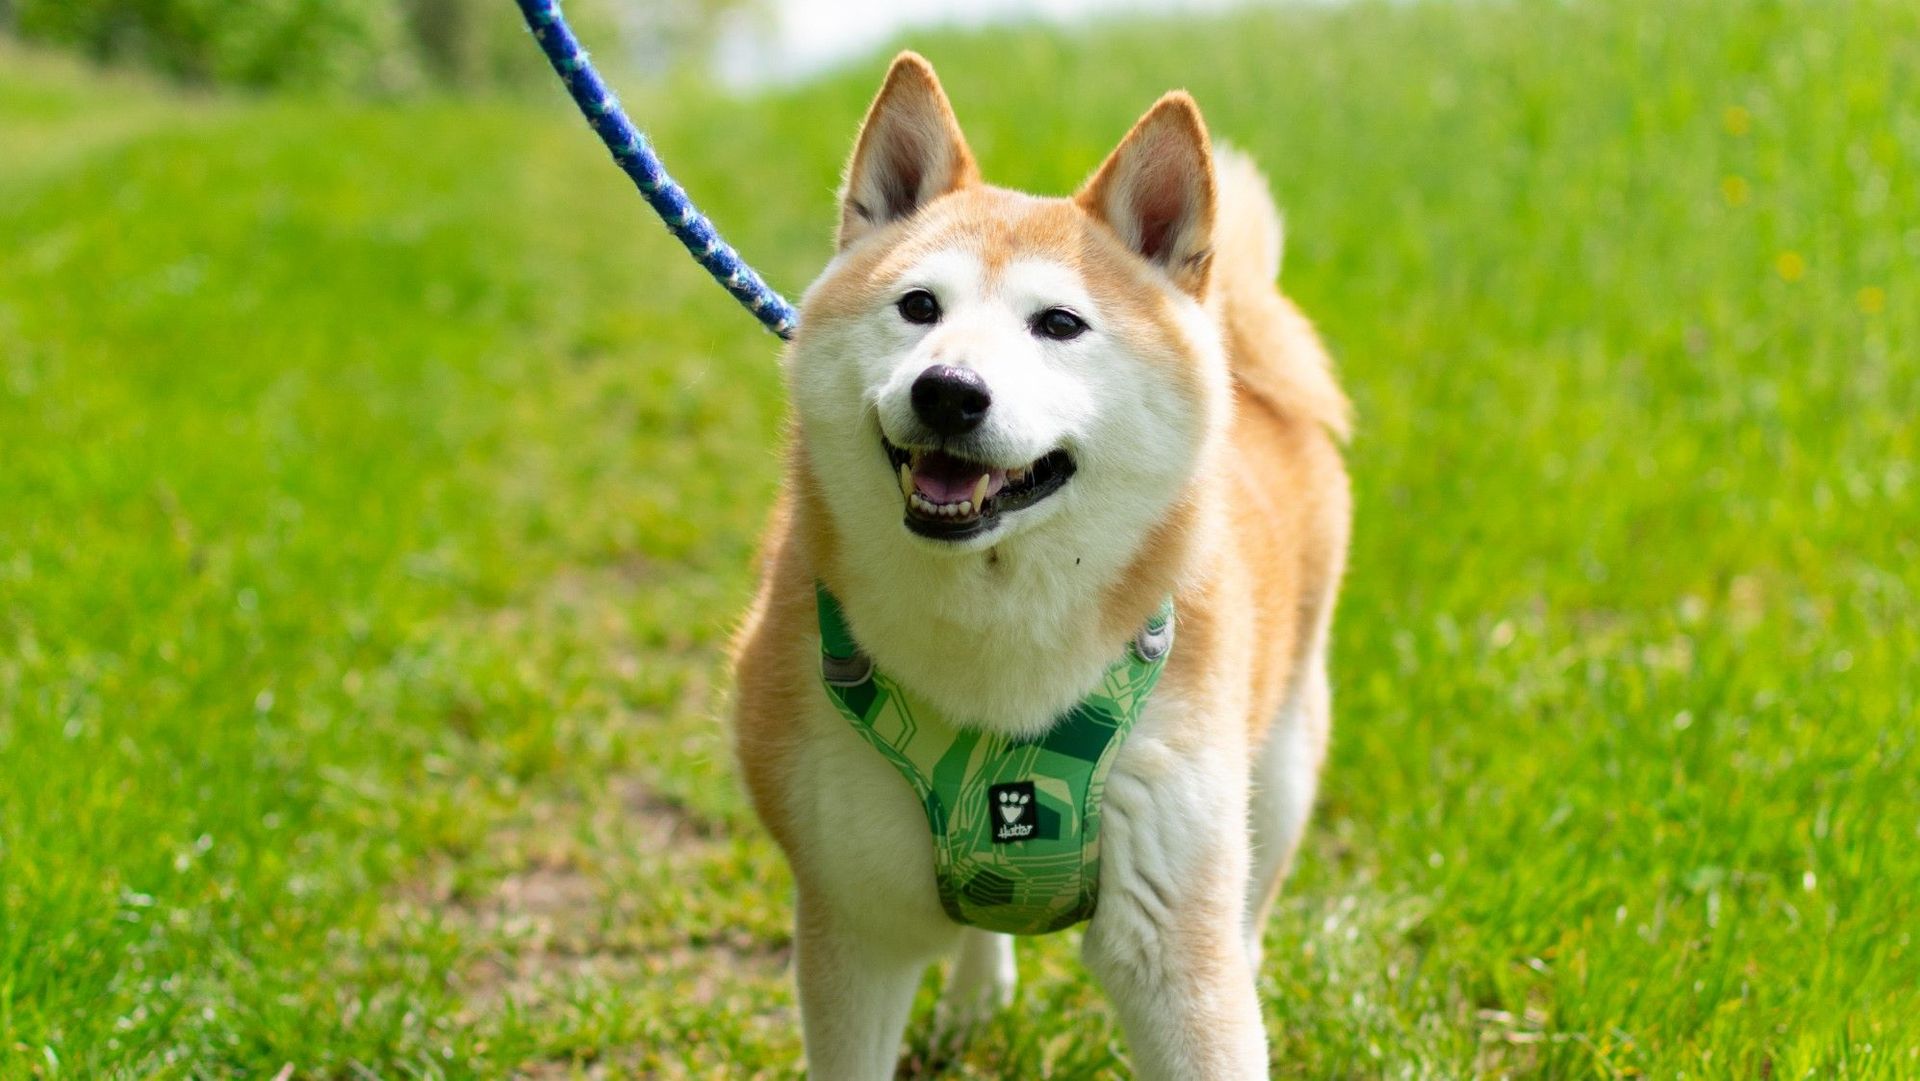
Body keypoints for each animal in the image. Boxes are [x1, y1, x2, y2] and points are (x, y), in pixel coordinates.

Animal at [729, 48, 1351, 1075]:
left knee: (1251, 906)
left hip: (1282, 765)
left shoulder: (1173, 937)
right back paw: (976, 1000)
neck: (998, 666)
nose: (947, 390)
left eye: (1058, 325)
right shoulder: (853, 920)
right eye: (918, 307)